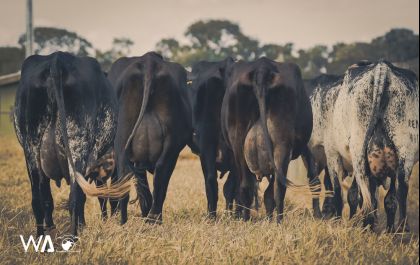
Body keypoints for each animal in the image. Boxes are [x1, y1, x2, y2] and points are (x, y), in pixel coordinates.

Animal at [13, 51, 131, 235]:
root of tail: (57, 58)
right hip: (77, 145)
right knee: (75, 197)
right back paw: (74, 236)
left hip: (31, 150)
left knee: (39, 199)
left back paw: (42, 237)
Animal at [108, 51, 194, 223]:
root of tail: (149, 61)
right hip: (170, 144)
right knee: (160, 172)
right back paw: (152, 217)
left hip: (123, 141)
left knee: (129, 175)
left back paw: (129, 219)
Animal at [221, 57, 314, 221]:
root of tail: (262, 68)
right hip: (281, 144)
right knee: (276, 188)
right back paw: (277, 221)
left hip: (240, 143)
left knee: (249, 186)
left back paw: (249, 219)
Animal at [306, 60, 418, 231]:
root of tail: (382, 67)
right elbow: (387, 199)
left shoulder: (332, 155)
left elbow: (339, 192)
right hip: (405, 149)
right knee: (401, 188)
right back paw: (399, 229)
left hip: (358, 150)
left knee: (364, 193)